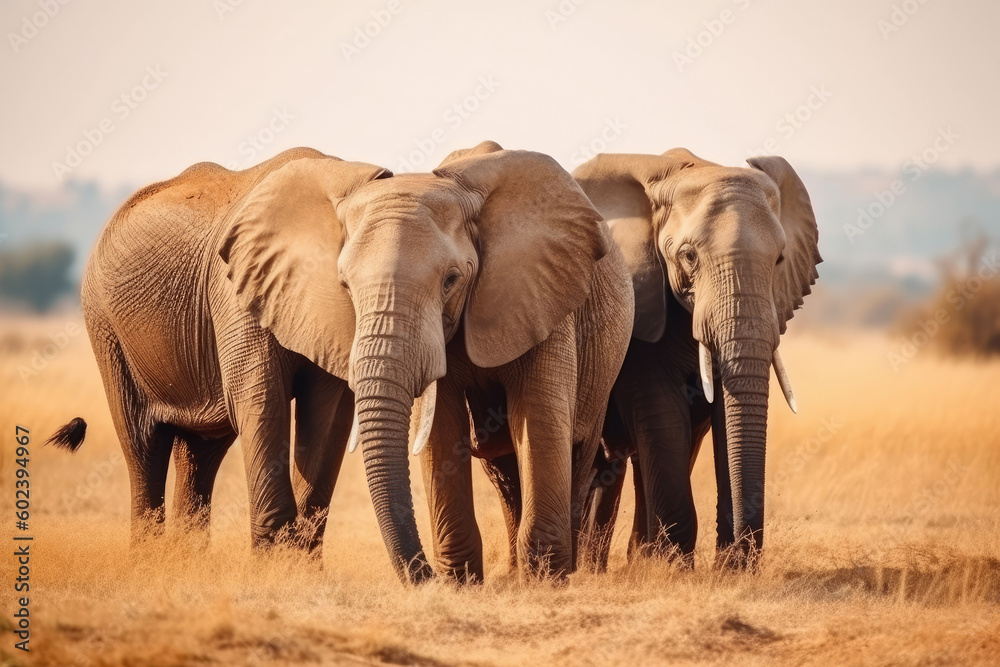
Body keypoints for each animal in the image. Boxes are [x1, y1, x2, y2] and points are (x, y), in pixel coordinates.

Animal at [50, 141, 634, 584]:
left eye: (452, 280)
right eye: (346, 285)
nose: (423, 579)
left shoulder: (540, 287)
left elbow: (331, 418)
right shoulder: (238, 293)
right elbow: (262, 404)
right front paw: (281, 572)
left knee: (201, 450)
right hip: (103, 319)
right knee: (144, 442)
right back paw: (154, 562)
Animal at [572, 149, 821, 569]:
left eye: (780, 259)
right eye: (688, 256)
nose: (740, 558)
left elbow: (723, 415)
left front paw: (720, 569)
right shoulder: (640, 312)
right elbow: (661, 411)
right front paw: (670, 569)